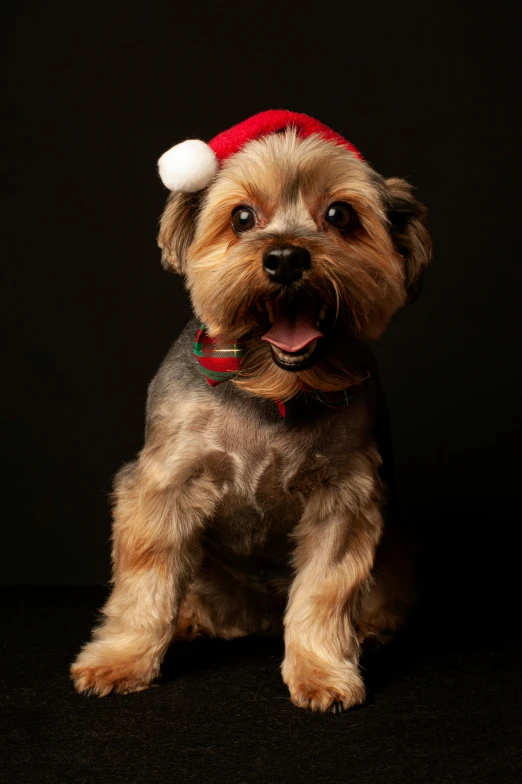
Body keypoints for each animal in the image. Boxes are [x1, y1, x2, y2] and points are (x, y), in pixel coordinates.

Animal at [70, 108, 430, 712]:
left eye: (340, 214)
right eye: (242, 216)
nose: (285, 257)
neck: (271, 391)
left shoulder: (344, 496)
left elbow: (324, 590)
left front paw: (322, 671)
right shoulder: (163, 484)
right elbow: (144, 582)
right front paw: (122, 659)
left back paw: (370, 631)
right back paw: (190, 621)